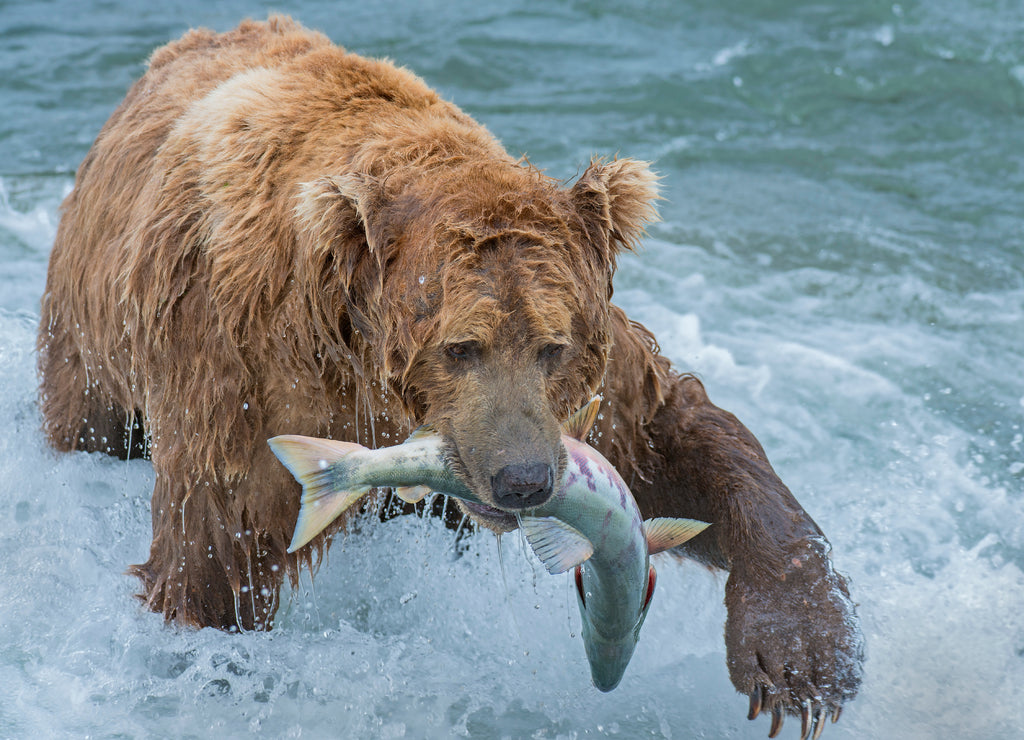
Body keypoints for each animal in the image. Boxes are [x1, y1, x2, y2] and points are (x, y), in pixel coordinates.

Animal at [36, 14, 860, 736]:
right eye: (461, 347)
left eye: (552, 346)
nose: (524, 481)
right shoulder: (247, 377)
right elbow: (217, 555)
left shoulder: (589, 400)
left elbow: (679, 440)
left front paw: (802, 661)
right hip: (89, 355)